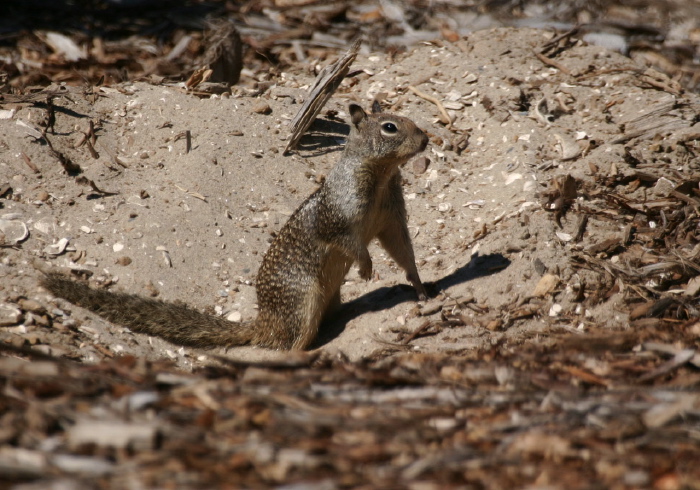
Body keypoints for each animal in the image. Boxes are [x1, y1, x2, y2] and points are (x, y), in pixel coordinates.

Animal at [42, 102, 432, 348]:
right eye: (390, 127)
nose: (427, 138)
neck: (381, 176)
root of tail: (263, 322)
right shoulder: (339, 217)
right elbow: (348, 241)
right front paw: (366, 267)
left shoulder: (391, 218)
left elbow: (402, 249)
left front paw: (420, 287)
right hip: (302, 301)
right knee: (289, 344)